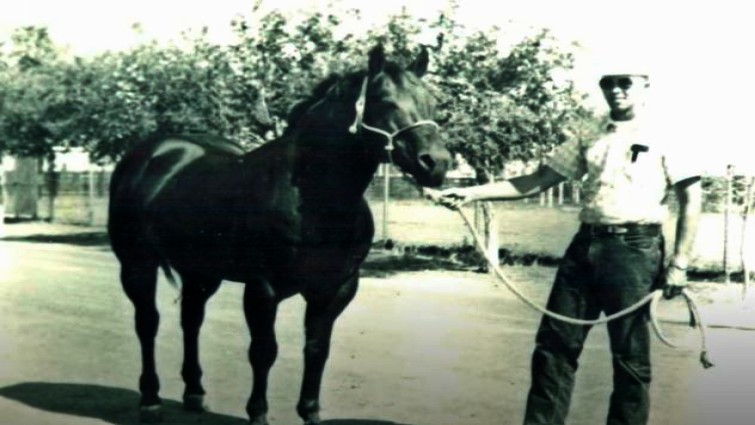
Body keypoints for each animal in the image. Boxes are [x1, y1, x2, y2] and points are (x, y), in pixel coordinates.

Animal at [108, 44, 452, 425]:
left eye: (432, 101)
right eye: (385, 100)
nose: (436, 163)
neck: (314, 198)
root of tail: (151, 154)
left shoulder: (336, 288)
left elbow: (317, 349)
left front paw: (310, 412)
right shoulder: (263, 288)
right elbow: (263, 351)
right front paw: (258, 413)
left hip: (201, 271)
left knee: (191, 320)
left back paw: (195, 393)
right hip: (137, 264)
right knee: (147, 322)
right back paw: (150, 398)